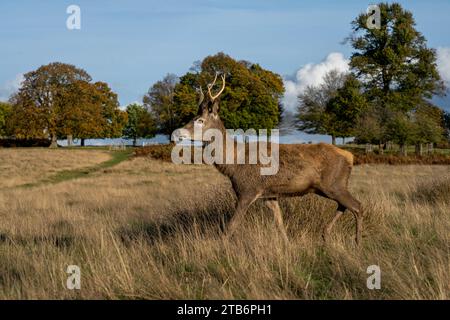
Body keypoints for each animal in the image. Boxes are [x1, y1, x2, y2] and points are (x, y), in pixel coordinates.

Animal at [174, 73, 364, 245]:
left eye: (200, 120)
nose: (176, 133)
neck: (234, 164)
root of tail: (350, 157)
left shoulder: (248, 190)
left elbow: (230, 227)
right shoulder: (269, 195)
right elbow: (279, 223)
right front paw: (288, 245)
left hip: (334, 184)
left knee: (357, 206)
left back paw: (357, 243)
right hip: (330, 186)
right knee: (345, 206)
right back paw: (326, 233)